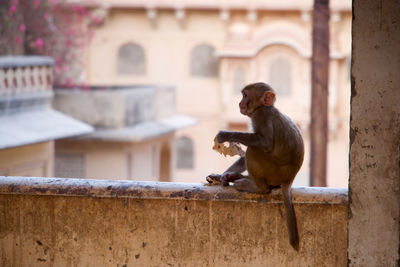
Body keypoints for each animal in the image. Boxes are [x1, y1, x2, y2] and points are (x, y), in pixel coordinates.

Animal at [208, 81, 304, 251]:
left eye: (245, 95)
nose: (240, 103)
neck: (263, 107)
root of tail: (289, 179)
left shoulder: (262, 117)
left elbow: (264, 143)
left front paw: (226, 135)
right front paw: (221, 176)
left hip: (273, 171)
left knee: (254, 150)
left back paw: (257, 187)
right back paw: (236, 177)